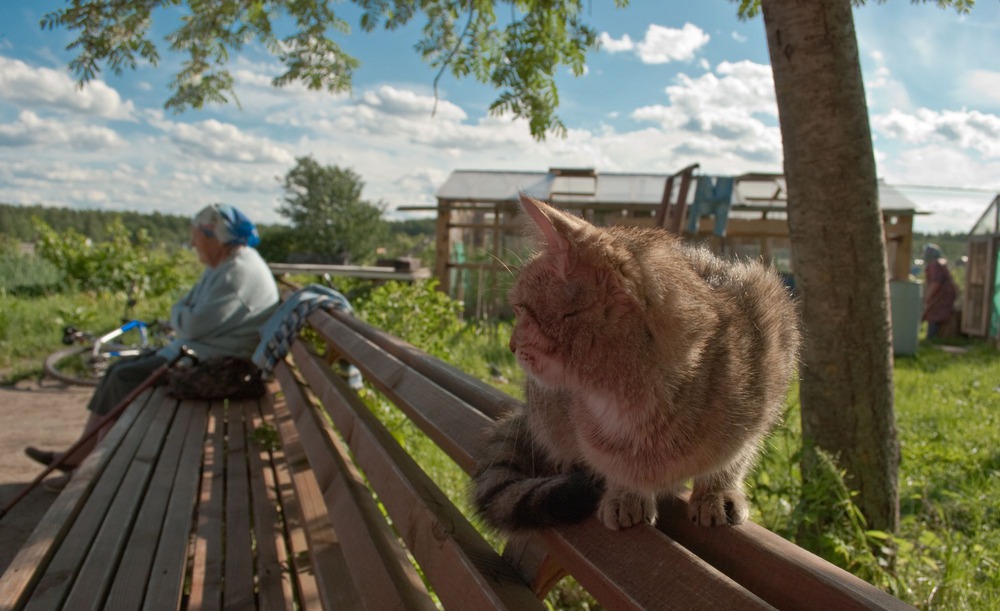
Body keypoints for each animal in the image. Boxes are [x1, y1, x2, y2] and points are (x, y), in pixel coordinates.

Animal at [472, 196, 800, 532]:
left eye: (520, 309)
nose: (510, 345)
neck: (630, 402)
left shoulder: (769, 351)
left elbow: (732, 460)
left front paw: (716, 494)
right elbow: (613, 469)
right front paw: (624, 495)